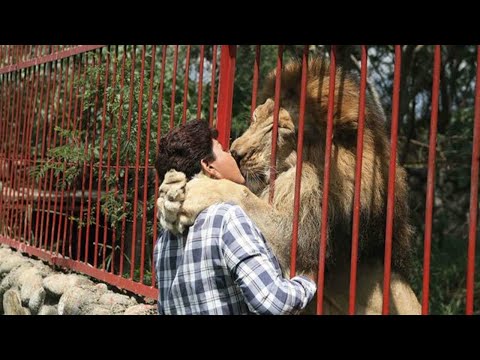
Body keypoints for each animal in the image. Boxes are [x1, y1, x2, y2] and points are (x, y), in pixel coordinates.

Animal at [157, 57, 420, 316]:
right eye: (256, 118)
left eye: (281, 129)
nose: (235, 153)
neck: (296, 174)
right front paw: (169, 196)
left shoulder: (302, 245)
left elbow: (243, 194)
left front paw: (195, 191)